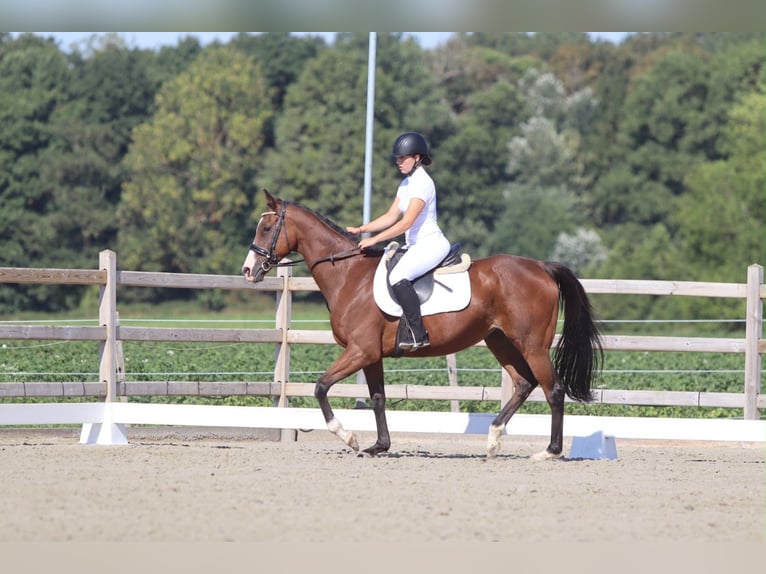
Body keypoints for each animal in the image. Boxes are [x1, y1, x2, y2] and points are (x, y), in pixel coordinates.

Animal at [242, 189, 603, 459]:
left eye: (265, 229)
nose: (248, 270)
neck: (349, 276)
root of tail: (541, 267)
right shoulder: (371, 355)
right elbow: (377, 398)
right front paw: (379, 446)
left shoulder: (360, 351)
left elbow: (320, 387)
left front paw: (349, 438)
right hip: (499, 340)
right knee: (524, 384)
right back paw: (493, 439)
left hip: (531, 344)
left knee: (553, 389)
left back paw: (549, 451)